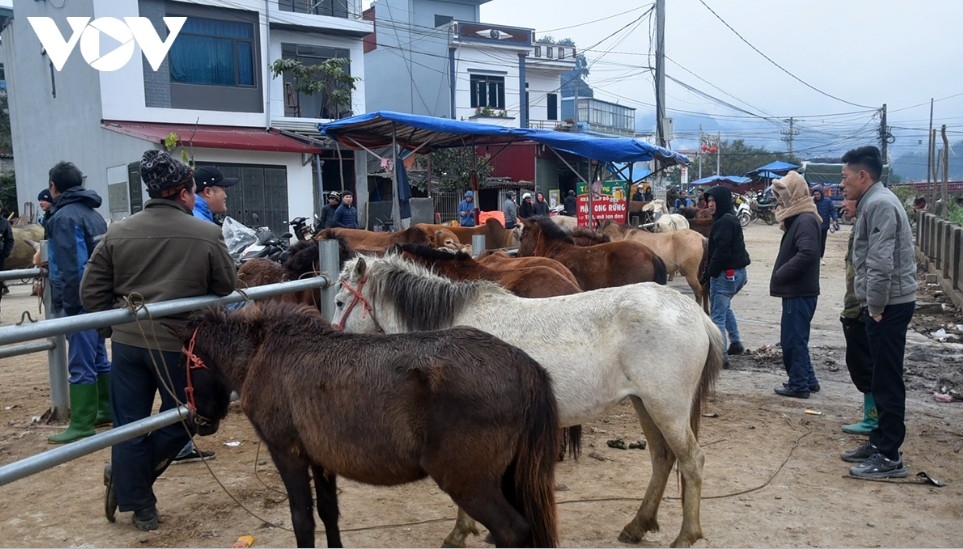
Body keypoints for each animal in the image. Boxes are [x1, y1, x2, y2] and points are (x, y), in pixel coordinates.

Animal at [176, 302, 560, 548]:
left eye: (188, 365)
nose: (198, 421)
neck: (265, 352)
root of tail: (522, 364)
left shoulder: (288, 455)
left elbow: (302, 521)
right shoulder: (321, 460)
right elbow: (328, 514)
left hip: (468, 482)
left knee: (511, 531)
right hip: (506, 477)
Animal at [333, 255, 724, 548]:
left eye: (338, 301)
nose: (333, 337)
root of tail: (696, 315)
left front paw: (460, 533)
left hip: (666, 407)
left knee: (692, 461)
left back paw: (686, 537)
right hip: (645, 405)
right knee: (662, 459)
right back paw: (637, 526)